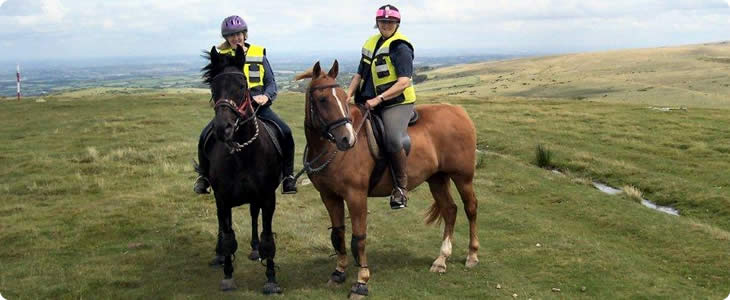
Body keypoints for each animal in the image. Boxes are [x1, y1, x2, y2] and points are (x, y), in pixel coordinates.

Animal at [199, 45, 282, 294]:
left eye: (243, 86)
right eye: (213, 88)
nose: (223, 129)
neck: (243, 153)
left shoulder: (267, 198)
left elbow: (267, 238)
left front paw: (271, 278)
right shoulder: (223, 199)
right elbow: (228, 239)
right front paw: (227, 275)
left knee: (254, 216)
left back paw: (254, 249)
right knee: (221, 225)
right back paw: (218, 255)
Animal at [292, 61, 480, 298]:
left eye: (343, 97)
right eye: (323, 99)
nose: (347, 139)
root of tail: (459, 112)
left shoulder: (356, 196)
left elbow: (359, 238)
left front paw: (361, 281)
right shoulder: (329, 196)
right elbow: (338, 234)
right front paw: (338, 272)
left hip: (463, 177)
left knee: (470, 208)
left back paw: (472, 254)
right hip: (436, 179)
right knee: (450, 210)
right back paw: (441, 259)